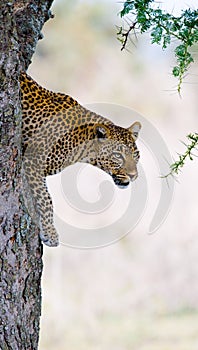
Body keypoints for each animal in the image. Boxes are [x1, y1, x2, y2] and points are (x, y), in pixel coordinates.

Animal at [20, 72, 142, 246]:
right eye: (118, 156)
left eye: (136, 156)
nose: (133, 176)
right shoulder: (33, 160)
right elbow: (46, 199)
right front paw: (50, 233)